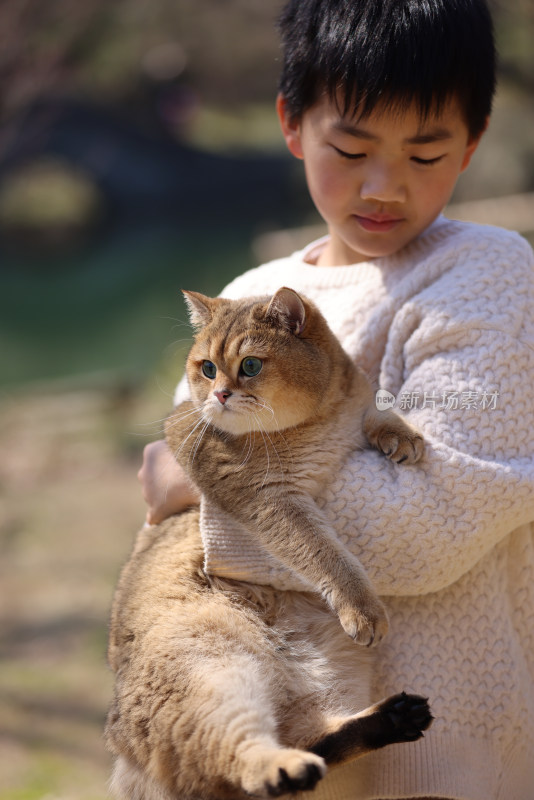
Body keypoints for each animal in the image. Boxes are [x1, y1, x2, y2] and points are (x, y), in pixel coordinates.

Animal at [107, 290, 434, 800]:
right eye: (207, 368)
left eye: (251, 365)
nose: (220, 394)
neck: (317, 423)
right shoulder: (270, 500)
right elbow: (326, 554)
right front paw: (363, 610)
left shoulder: (354, 407)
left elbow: (377, 408)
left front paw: (401, 435)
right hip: (211, 675)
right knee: (239, 764)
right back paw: (283, 768)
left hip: (328, 682)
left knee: (312, 740)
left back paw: (393, 719)